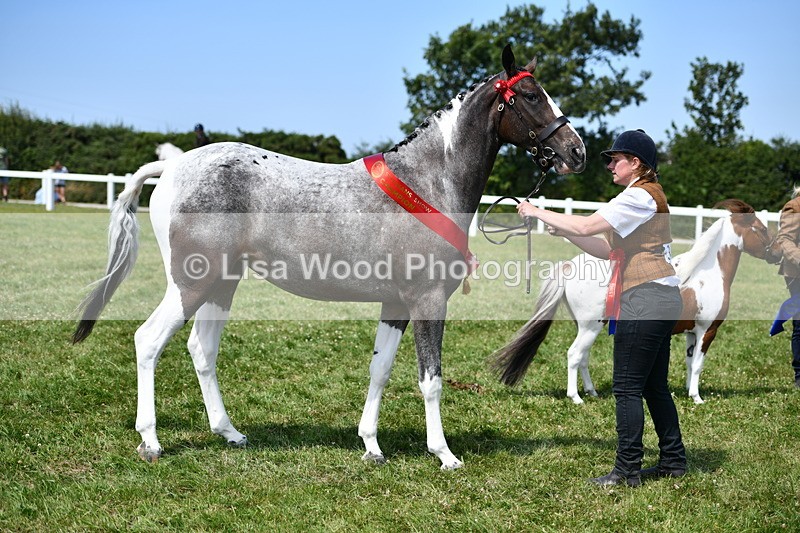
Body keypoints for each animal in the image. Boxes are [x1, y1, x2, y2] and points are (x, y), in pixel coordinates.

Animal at [71, 45, 586, 470]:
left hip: (221, 283)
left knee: (202, 349)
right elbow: (431, 378)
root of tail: (173, 166)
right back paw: (151, 441)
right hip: (190, 283)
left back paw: (229, 432)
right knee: (148, 341)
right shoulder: (428, 301)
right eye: (531, 96)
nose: (576, 152)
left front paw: (371, 445)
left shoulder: (396, 304)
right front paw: (444, 454)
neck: (427, 182)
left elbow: (380, 370)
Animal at [492, 199, 782, 405]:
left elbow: (690, 364)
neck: (706, 274)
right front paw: (697, 398)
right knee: (574, 355)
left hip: (588, 327)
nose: (778, 253)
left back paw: (592, 392)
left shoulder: (691, 332)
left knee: (583, 357)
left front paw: (688, 391)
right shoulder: (707, 330)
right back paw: (575, 398)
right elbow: (699, 364)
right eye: (760, 228)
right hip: (590, 326)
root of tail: (569, 267)